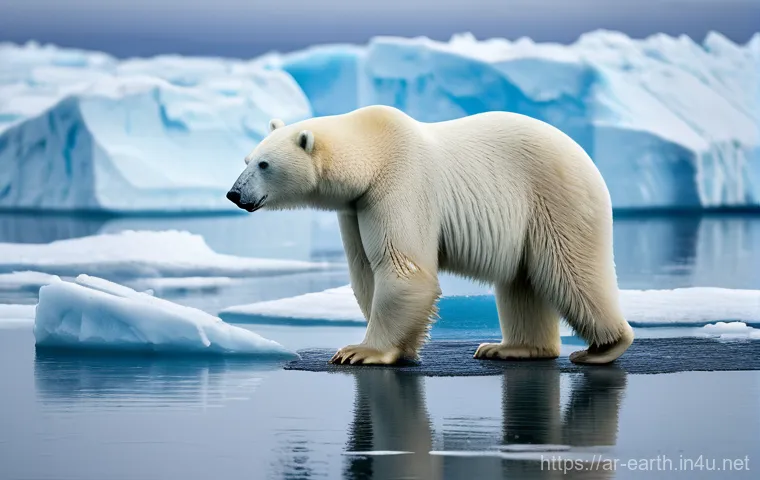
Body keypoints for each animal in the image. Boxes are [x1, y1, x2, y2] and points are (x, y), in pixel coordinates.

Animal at [227, 105, 634, 366]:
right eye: (246, 160)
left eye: (264, 164)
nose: (233, 194)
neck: (374, 149)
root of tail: (584, 155)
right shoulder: (355, 206)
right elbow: (365, 270)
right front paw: (401, 348)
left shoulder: (399, 183)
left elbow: (402, 268)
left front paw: (360, 351)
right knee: (522, 281)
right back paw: (509, 347)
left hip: (555, 197)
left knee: (571, 272)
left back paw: (604, 347)